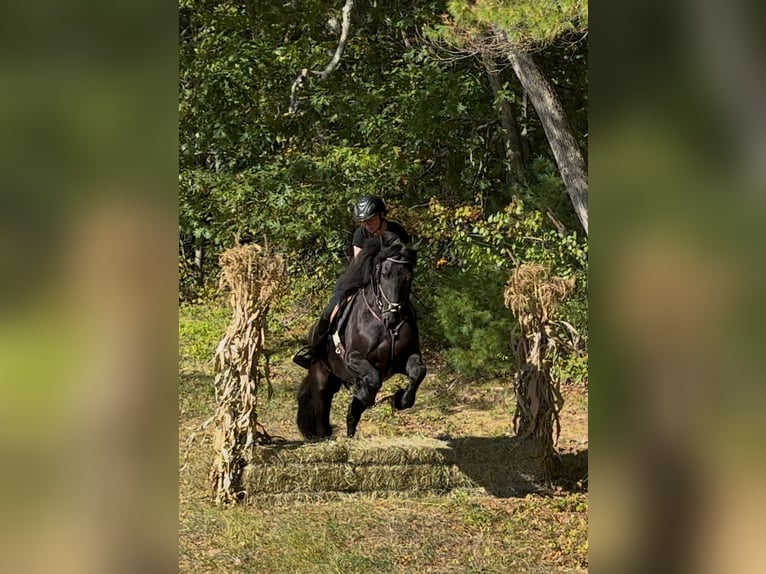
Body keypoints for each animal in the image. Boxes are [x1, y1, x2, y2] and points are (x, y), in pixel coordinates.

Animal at [296, 231, 427, 439]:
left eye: (409, 277)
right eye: (384, 274)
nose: (393, 318)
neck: (384, 326)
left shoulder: (406, 357)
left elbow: (418, 371)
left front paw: (399, 399)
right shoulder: (353, 358)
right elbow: (373, 379)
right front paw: (367, 394)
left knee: (351, 417)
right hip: (321, 378)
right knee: (322, 415)